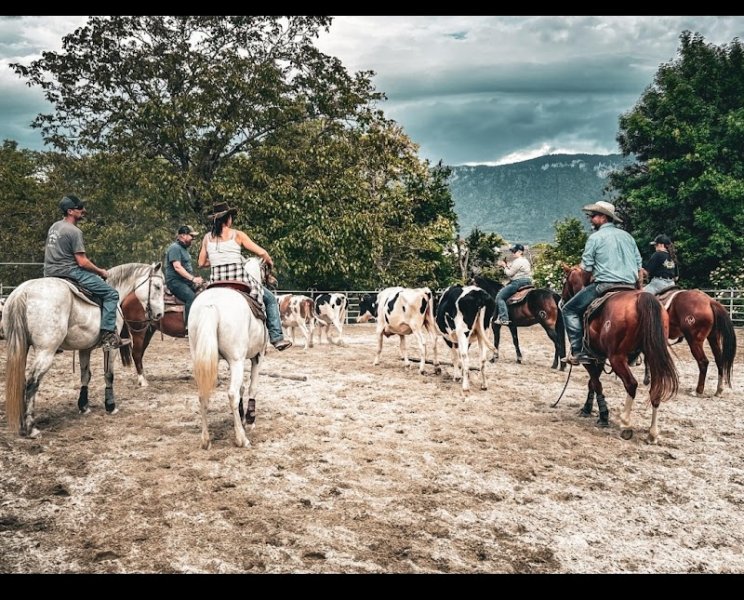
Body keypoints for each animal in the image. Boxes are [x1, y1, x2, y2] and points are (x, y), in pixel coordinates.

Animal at [3, 262, 165, 437]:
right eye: (157, 286)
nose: (159, 314)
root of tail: (23, 292)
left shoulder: (84, 348)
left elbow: (85, 376)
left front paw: (83, 406)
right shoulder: (111, 349)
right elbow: (109, 375)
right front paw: (110, 406)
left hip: (21, 348)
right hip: (46, 351)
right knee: (32, 383)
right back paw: (31, 427)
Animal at [188, 256, 272, 449]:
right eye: (267, 269)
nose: (273, 281)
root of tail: (211, 305)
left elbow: (242, 387)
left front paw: (242, 416)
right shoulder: (258, 356)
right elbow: (251, 387)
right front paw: (250, 419)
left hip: (202, 358)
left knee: (203, 395)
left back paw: (206, 440)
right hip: (237, 360)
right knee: (232, 394)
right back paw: (242, 439)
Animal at [560, 265, 679, 443]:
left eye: (565, 281)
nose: (561, 301)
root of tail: (642, 298)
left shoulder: (590, 357)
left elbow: (596, 383)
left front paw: (603, 416)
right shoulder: (599, 357)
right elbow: (592, 383)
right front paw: (588, 408)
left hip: (617, 358)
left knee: (631, 384)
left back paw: (626, 425)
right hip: (652, 355)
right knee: (656, 389)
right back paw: (652, 433)